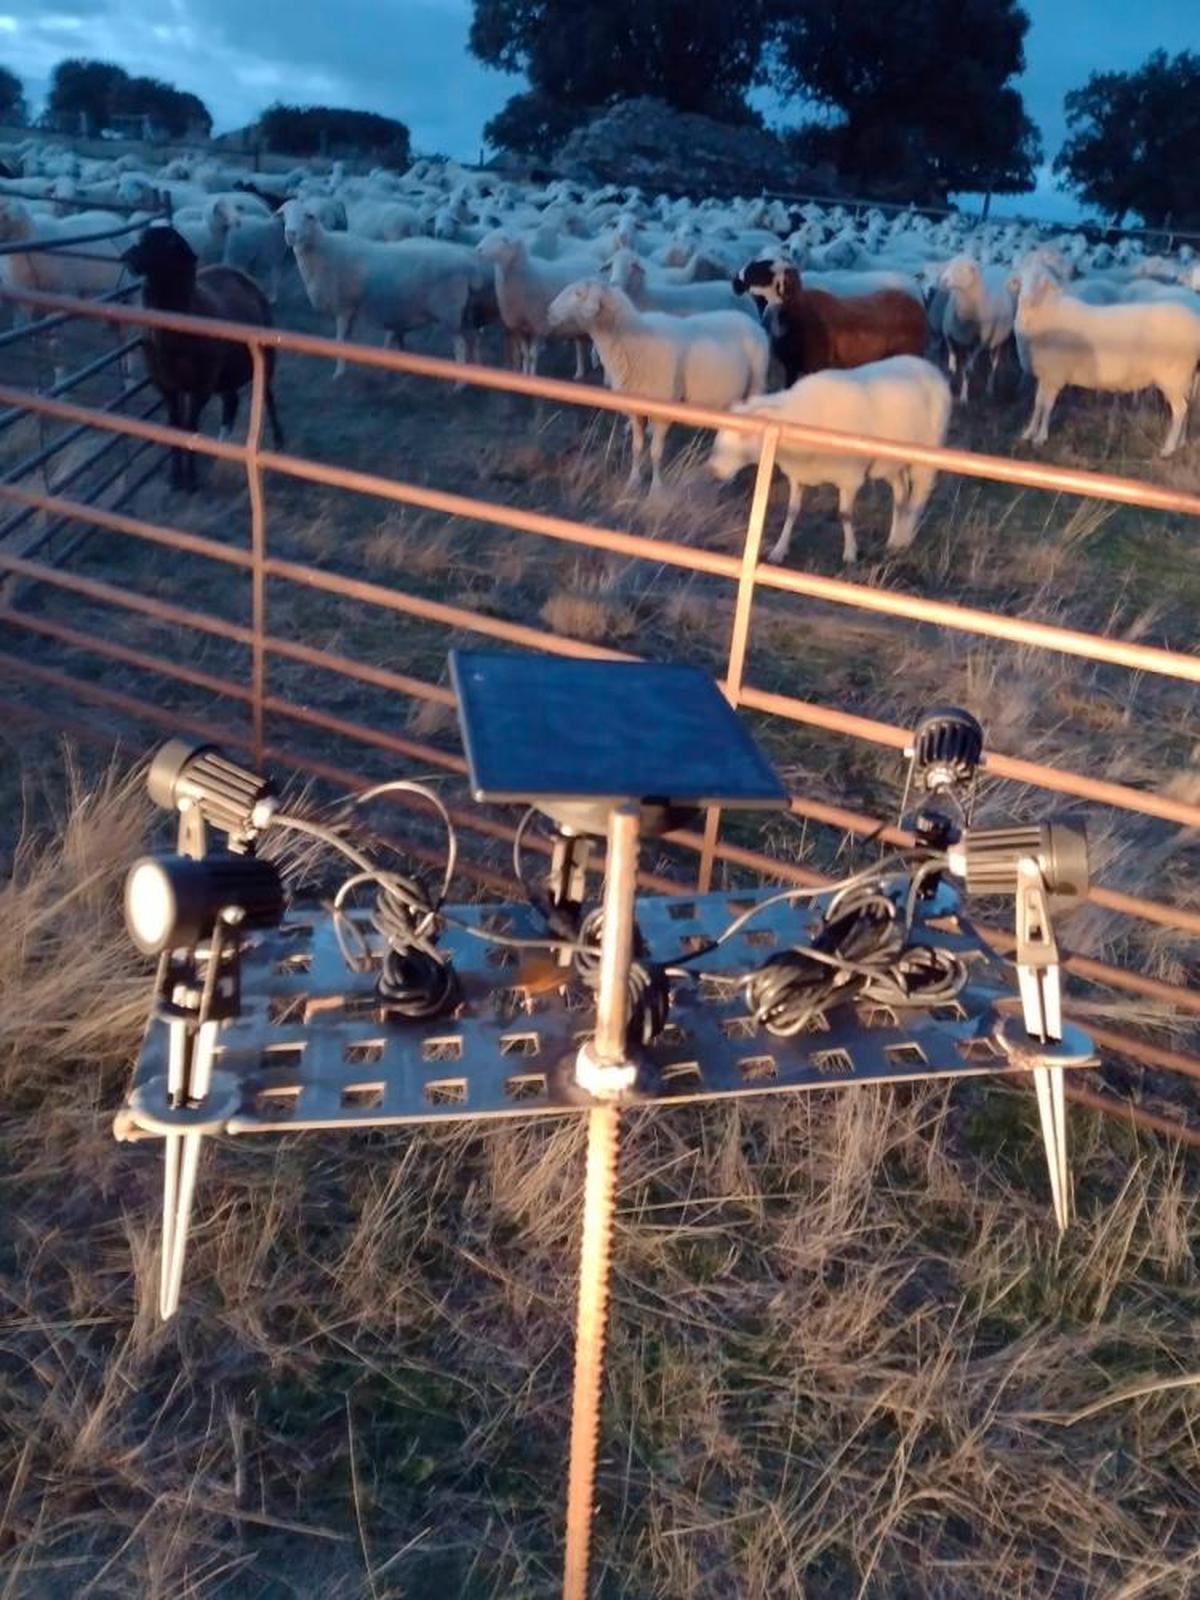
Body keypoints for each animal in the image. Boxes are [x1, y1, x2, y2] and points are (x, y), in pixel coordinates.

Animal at [281, 196, 489, 374]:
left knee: (461, 344)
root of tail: (470, 265)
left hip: (448, 311)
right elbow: (348, 340)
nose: (290, 234)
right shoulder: (352, 309)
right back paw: (476, 370)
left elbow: (340, 341)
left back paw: (459, 384)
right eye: (285, 215)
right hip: (464, 312)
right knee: (474, 338)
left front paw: (339, 373)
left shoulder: (344, 307)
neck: (325, 249)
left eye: (309, 216)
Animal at [553, 281, 771, 489]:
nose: (550, 311)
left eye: (578, 293)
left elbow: (656, 452)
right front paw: (633, 480)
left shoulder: (663, 410)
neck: (634, 340)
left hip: (756, 383)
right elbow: (637, 447)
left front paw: (656, 487)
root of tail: (750, 320)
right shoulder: (636, 409)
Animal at [710, 358, 953, 569]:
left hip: (926, 457)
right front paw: (779, 550)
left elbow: (845, 514)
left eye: (744, 434)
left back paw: (905, 539)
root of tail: (928, 365)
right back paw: (894, 540)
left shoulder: (850, 477)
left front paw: (850, 553)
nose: (713, 470)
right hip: (890, 461)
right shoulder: (798, 474)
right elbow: (792, 511)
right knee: (901, 493)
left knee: (918, 497)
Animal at [1017, 270, 1200, 457]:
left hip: (1173, 376)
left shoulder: (1054, 374)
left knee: (1180, 410)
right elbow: (1038, 403)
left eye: (1042, 281)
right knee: (1188, 407)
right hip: (1186, 376)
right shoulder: (1045, 374)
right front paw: (1028, 432)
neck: (1049, 311)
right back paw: (1181, 443)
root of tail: (1194, 323)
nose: (1025, 298)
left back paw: (1168, 448)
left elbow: (1047, 406)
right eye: (1021, 279)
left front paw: (1040, 438)